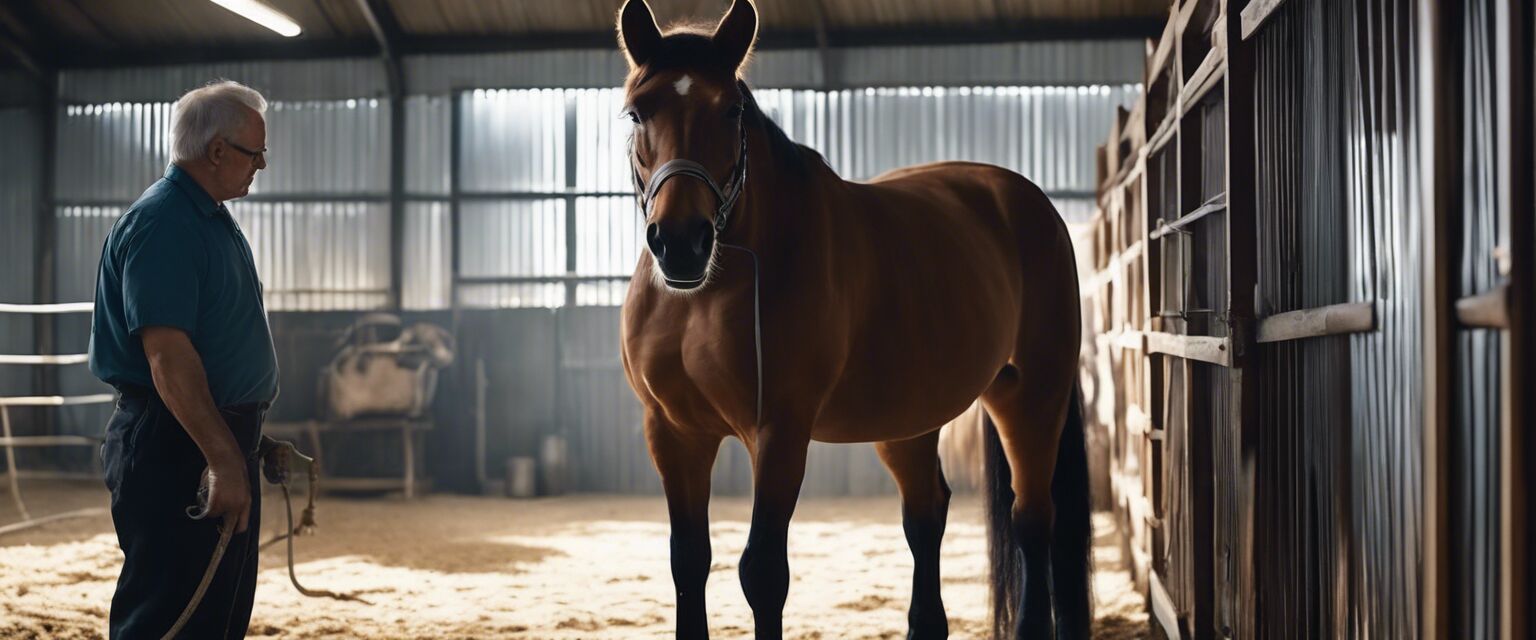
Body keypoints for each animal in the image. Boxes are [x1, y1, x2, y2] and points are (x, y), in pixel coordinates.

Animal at [611, 2, 1093, 635]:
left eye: (731, 109)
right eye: (637, 111)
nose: (681, 243)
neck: (707, 294)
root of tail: (1034, 205)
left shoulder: (780, 430)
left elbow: (763, 573)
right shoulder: (673, 431)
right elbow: (688, 562)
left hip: (1031, 396)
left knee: (1033, 518)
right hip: (910, 419)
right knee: (927, 515)